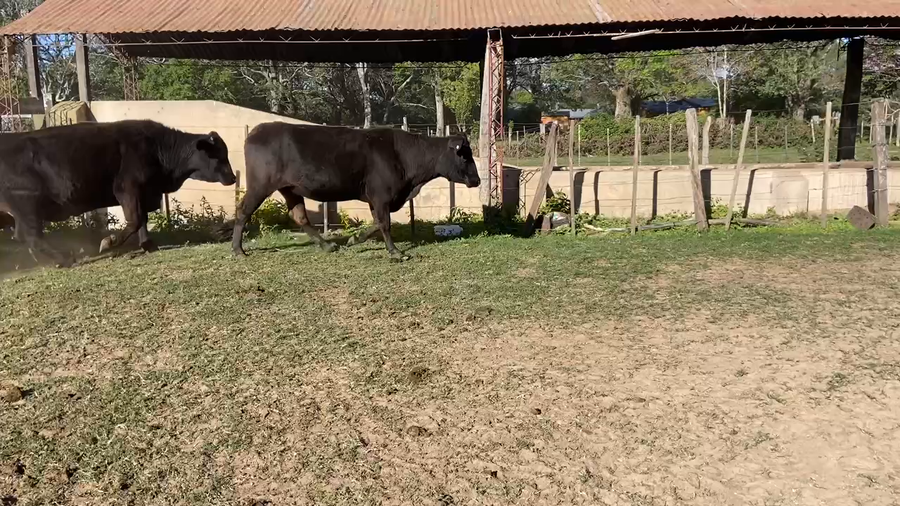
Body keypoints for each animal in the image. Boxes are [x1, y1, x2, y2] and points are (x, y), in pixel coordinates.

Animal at [0, 120, 236, 267]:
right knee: (31, 236)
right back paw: (64, 257)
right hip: (27, 205)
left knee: (25, 237)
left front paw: (148, 244)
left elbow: (142, 220)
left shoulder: (144, 193)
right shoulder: (128, 189)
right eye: (218, 155)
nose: (233, 178)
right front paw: (109, 242)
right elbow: (135, 220)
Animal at [231, 123, 480, 261]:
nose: (477, 180)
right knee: (243, 210)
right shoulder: (381, 195)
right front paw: (396, 252)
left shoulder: (375, 198)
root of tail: (256, 131)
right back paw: (238, 250)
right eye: (465, 156)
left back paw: (327, 245)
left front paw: (354, 239)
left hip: (290, 188)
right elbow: (385, 223)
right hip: (260, 184)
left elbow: (377, 223)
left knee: (299, 216)